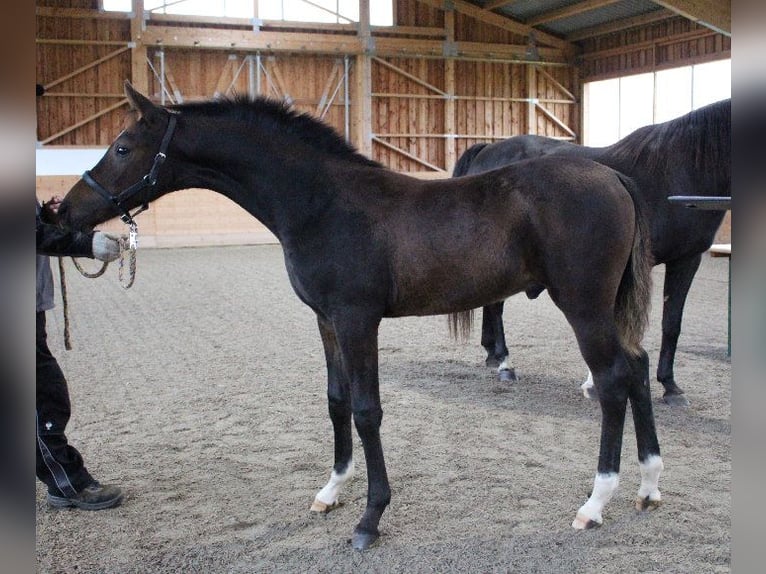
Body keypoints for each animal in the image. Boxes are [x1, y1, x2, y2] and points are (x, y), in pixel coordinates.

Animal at [59, 81, 663, 550]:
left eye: (122, 147)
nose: (64, 212)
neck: (321, 202)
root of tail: (614, 178)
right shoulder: (326, 321)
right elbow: (337, 402)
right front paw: (331, 491)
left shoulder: (357, 319)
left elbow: (368, 410)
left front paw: (370, 518)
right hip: (606, 308)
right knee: (637, 368)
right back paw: (649, 485)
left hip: (583, 305)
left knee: (613, 381)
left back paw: (596, 501)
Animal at [453, 99, 731, 407]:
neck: (679, 170)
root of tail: (487, 150)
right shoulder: (678, 261)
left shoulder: (686, 259)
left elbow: (670, 324)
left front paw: (669, 386)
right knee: (496, 307)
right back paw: (504, 363)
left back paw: (492, 353)